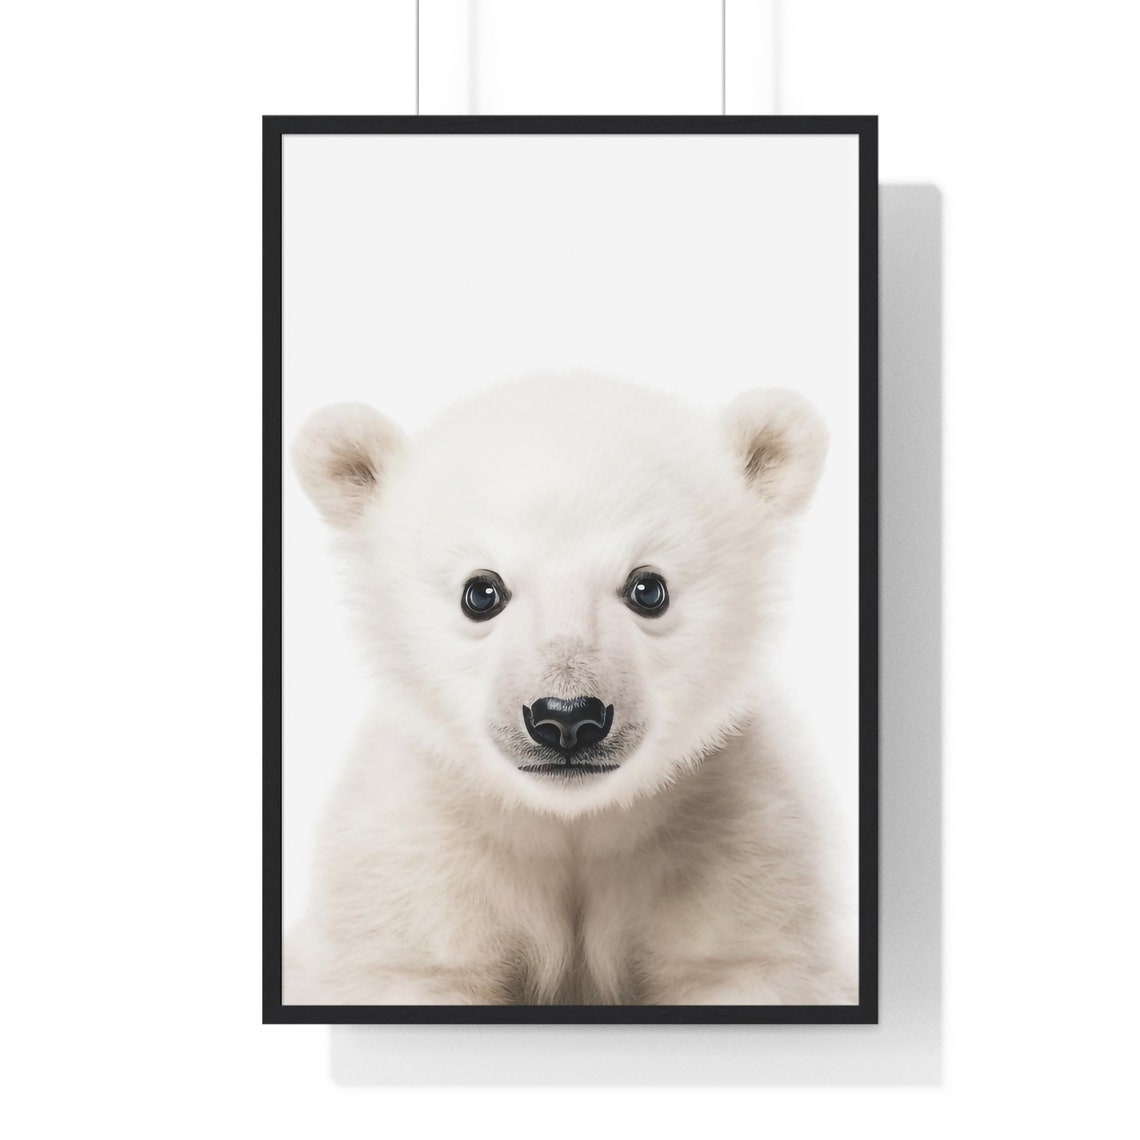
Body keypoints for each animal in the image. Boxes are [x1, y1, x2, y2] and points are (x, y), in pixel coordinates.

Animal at [284, 374, 854, 1006]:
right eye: (481, 591)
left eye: (648, 588)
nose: (566, 717)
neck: (570, 819)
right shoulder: (412, 849)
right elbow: (412, 963)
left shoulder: (738, 834)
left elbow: (740, 960)